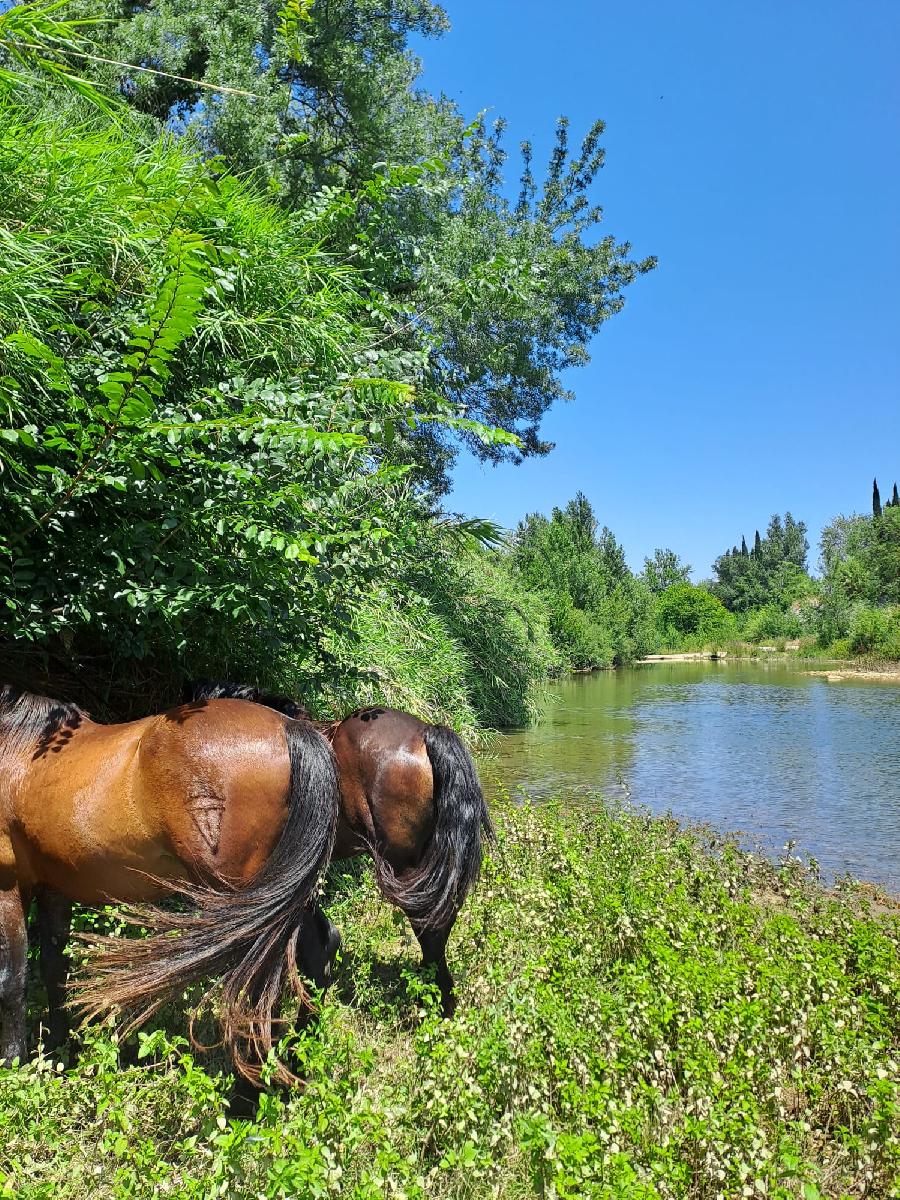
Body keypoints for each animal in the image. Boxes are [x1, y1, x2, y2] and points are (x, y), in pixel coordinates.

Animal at [0, 681, 340, 1084]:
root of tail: (289, 727)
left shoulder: (8, 887)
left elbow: (12, 982)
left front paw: (13, 1066)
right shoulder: (53, 888)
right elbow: (53, 969)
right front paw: (59, 1051)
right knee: (318, 948)